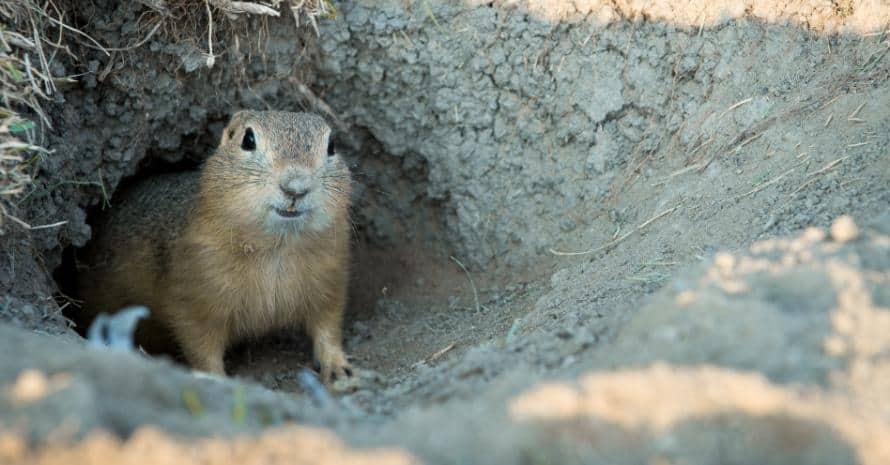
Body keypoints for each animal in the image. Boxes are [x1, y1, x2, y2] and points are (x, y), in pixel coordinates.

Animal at [76, 109, 354, 380]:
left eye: (332, 146)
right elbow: (200, 345)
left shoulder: (330, 280)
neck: (277, 247)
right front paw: (217, 379)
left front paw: (339, 368)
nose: (296, 187)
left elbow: (328, 325)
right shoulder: (196, 294)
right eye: (248, 140)